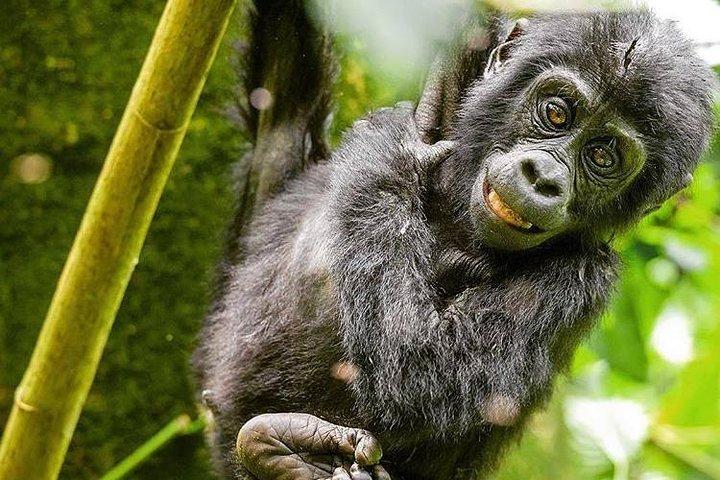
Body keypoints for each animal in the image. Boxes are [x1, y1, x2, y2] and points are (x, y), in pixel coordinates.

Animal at [193, 3, 716, 479]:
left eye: (603, 156)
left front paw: (391, 151)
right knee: (283, 100)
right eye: (556, 112)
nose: (544, 176)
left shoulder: (583, 280)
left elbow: (420, 371)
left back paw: (290, 455)